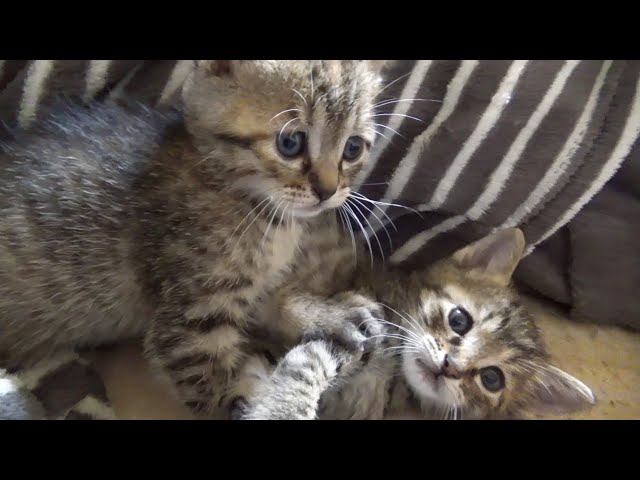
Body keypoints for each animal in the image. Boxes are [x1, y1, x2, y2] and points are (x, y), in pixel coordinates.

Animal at [0, 60, 384, 418]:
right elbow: (222, 393)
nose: (328, 191)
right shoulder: (191, 320)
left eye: (352, 148)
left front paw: (323, 314)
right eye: (290, 143)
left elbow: (266, 301)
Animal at [240, 229, 596, 420]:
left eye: (492, 379)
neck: (395, 385)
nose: (451, 366)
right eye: (458, 320)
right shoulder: (360, 329)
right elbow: (302, 363)